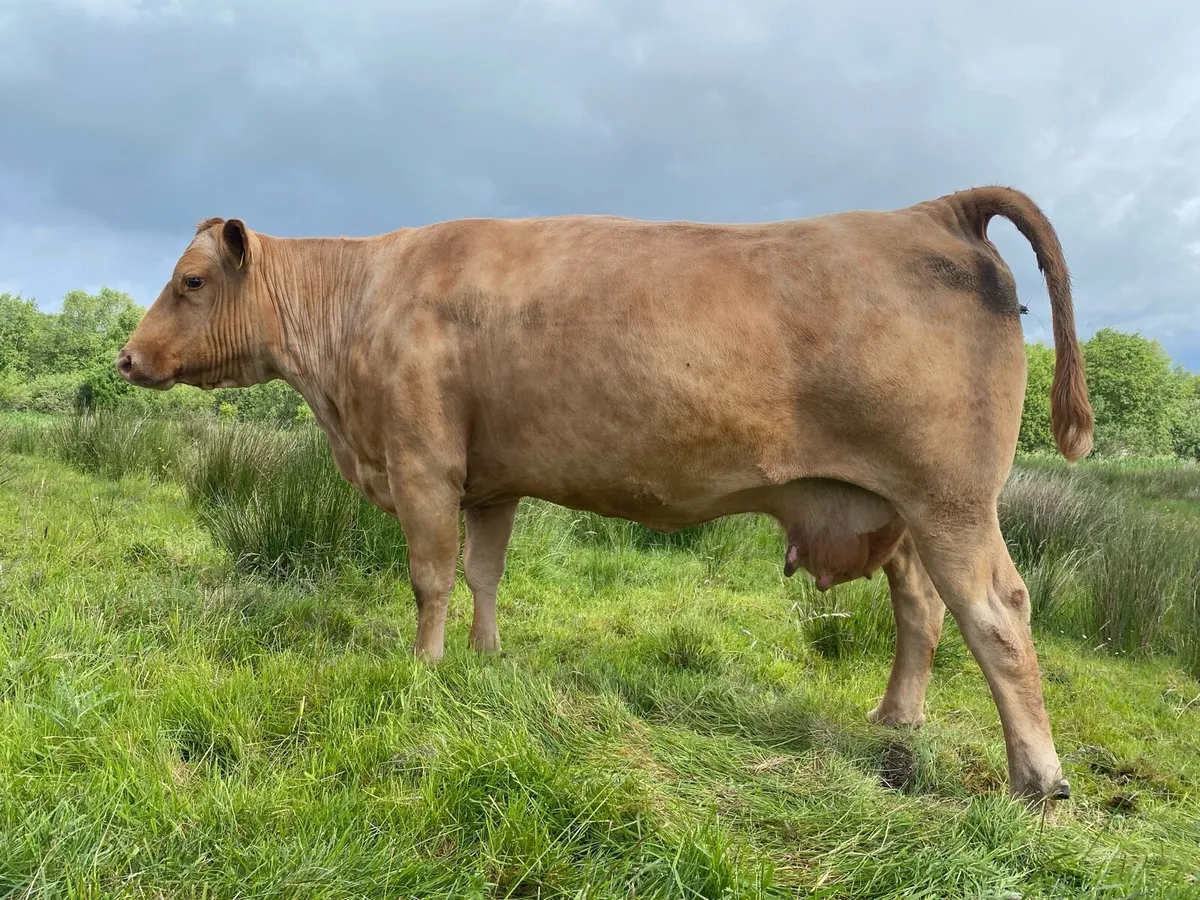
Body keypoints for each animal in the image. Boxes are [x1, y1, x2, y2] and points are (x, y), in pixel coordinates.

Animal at [117, 185, 1093, 804]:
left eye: (190, 281)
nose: (126, 358)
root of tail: (936, 210)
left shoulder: (423, 463)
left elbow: (430, 576)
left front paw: (423, 669)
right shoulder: (490, 481)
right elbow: (483, 573)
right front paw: (484, 661)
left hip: (951, 501)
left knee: (997, 612)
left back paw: (1036, 779)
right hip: (899, 512)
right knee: (922, 610)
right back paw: (896, 723)